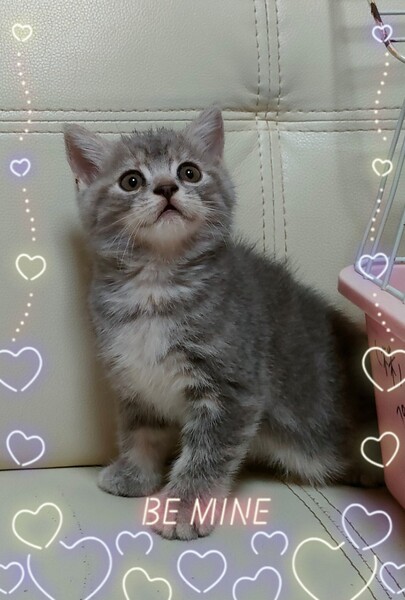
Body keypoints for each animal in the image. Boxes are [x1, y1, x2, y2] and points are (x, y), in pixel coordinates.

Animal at [64, 107, 381, 540]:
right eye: (131, 180)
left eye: (190, 172)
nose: (166, 188)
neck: (156, 286)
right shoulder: (134, 378)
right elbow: (141, 432)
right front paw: (134, 474)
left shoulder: (234, 388)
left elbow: (206, 454)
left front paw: (183, 508)